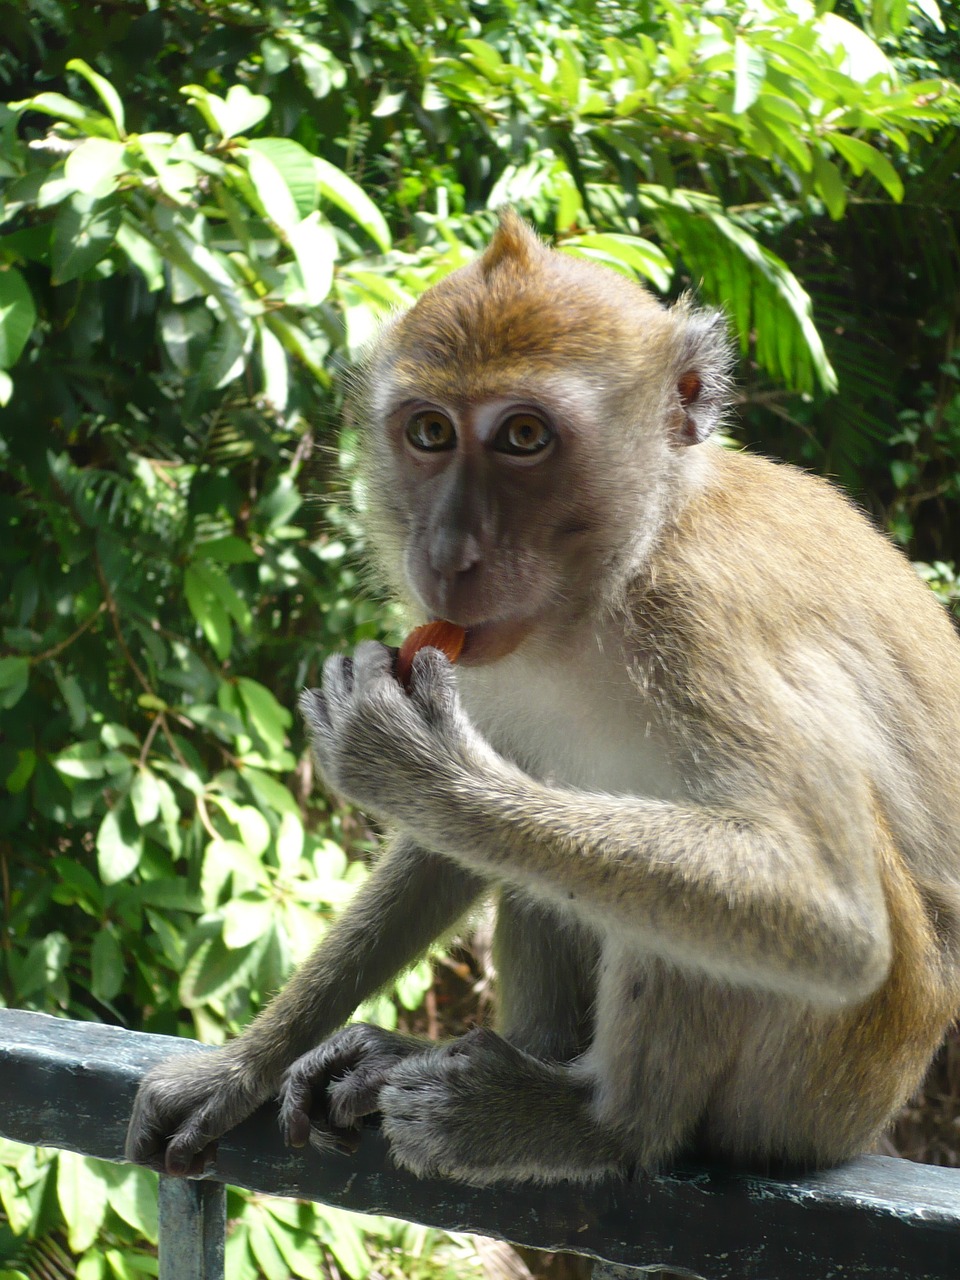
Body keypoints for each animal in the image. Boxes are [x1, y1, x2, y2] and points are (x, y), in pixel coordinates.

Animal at [126, 209, 960, 1187]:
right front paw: (240, 1069)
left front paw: (416, 766)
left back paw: (595, 1127)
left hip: (837, 1078)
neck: (610, 584)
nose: (447, 554)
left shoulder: (704, 618)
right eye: (430, 432)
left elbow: (828, 912)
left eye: (524, 437)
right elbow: (447, 853)